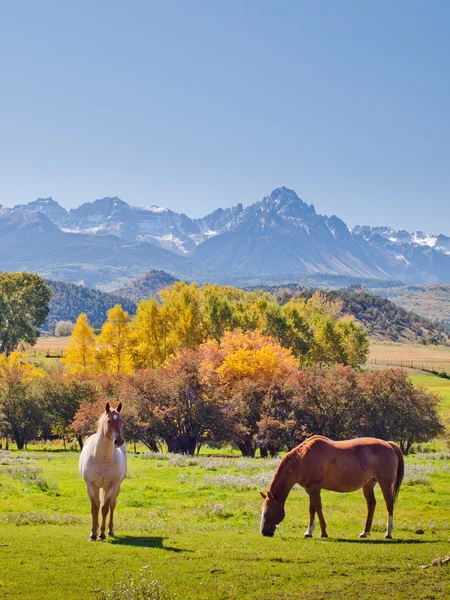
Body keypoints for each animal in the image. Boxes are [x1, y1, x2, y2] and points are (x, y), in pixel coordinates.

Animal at [79, 404, 126, 540]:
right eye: (109, 421)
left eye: (121, 421)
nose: (119, 441)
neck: (103, 458)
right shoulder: (90, 485)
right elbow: (95, 508)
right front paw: (93, 533)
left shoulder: (112, 485)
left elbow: (105, 508)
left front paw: (102, 534)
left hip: (116, 487)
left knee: (112, 505)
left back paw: (110, 530)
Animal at [260, 436, 404, 540]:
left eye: (269, 511)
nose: (264, 532)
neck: (302, 459)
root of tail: (389, 444)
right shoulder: (310, 489)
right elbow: (318, 507)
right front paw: (323, 532)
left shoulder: (315, 487)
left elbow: (312, 508)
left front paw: (309, 532)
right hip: (368, 485)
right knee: (371, 505)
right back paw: (365, 532)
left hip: (385, 483)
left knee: (389, 504)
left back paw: (388, 533)